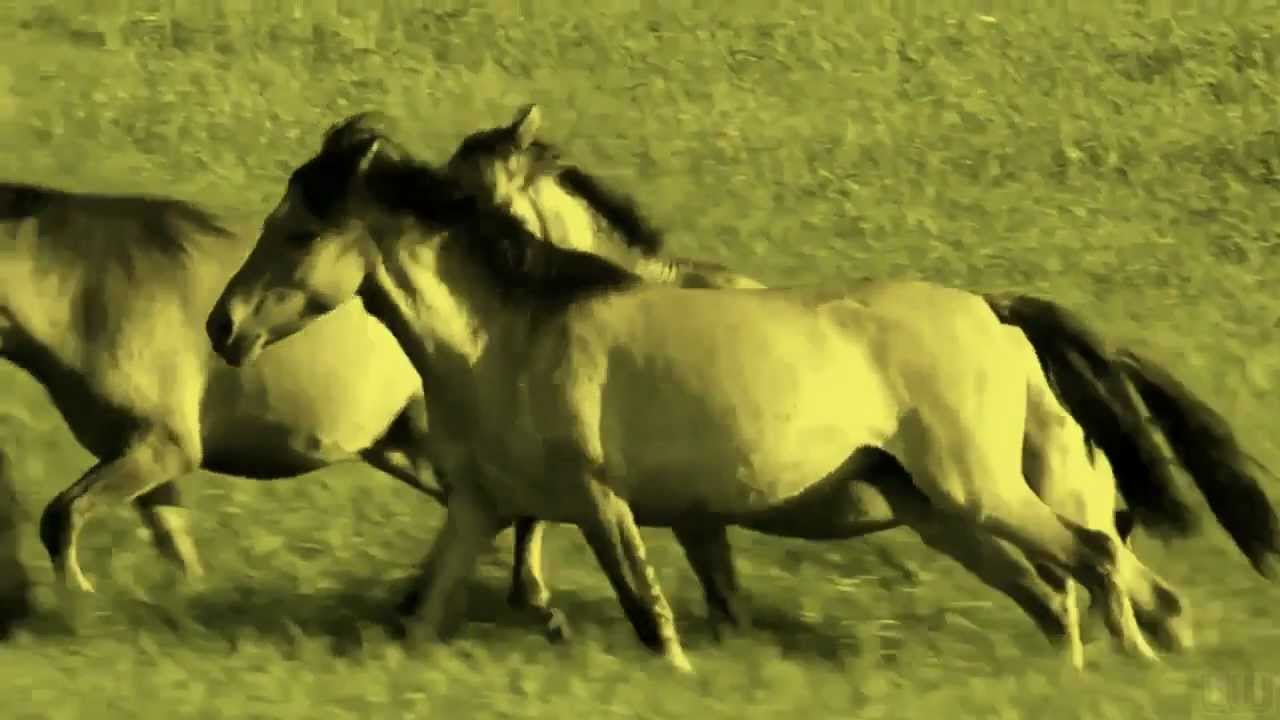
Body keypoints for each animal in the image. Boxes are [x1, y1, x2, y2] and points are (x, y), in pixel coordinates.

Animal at [208, 114, 1278, 672]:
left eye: (299, 232)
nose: (222, 326)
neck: (511, 334)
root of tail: (995, 313)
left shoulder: (606, 501)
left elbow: (654, 615)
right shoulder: (484, 505)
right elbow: (420, 611)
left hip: (984, 494)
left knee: (1100, 564)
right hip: (949, 514)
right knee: (1064, 593)